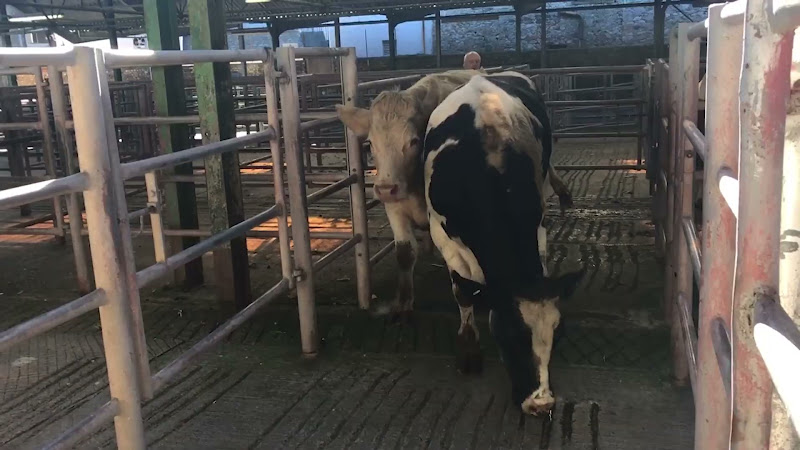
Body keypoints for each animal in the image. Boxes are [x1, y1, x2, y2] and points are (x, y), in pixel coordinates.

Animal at [336, 70, 574, 320]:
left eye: (413, 141)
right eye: (370, 143)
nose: (384, 188)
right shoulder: (396, 207)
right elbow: (405, 253)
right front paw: (403, 303)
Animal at [422, 73, 585, 415]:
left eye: (559, 334)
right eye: (510, 334)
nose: (541, 403)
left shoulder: (536, 225)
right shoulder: (442, 234)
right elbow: (463, 292)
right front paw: (469, 350)